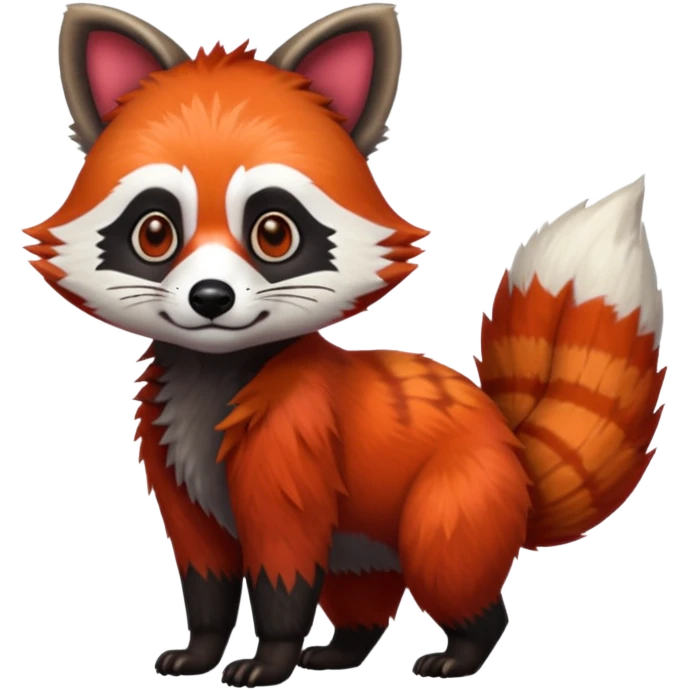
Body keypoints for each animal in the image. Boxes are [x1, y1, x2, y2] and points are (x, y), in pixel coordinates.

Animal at [23, 1, 666, 686]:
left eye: (273, 232)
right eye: (154, 232)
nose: (210, 298)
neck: (215, 377)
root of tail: (510, 445)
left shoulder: (295, 447)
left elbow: (283, 570)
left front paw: (269, 659)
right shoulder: (178, 473)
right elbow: (205, 577)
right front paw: (202, 649)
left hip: (453, 501)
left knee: (456, 577)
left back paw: (463, 650)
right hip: (364, 542)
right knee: (362, 595)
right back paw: (343, 650)